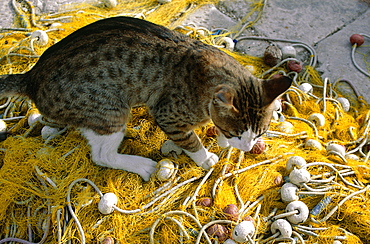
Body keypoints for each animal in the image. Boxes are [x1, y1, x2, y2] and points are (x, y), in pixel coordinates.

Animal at [0, 16, 292, 181]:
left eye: (260, 132)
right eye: (238, 131)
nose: (247, 147)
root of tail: (32, 77)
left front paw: (220, 139)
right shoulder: (168, 115)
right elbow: (191, 140)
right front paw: (205, 157)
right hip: (110, 111)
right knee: (102, 155)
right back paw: (142, 165)